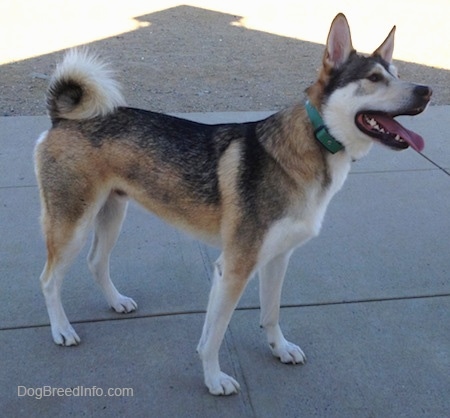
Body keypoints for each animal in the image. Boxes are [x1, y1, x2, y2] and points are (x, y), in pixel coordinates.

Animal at [35, 13, 432, 396]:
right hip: (72, 226)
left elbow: (270, 313)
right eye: (374, 78)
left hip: (112, 215)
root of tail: (62, 117)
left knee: (96, 262)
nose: (427, 91)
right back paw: (61, 330)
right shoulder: (235, 267)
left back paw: (116, 301)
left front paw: (279, 349)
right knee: (49, 280)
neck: (310, 146)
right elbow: (213, 337)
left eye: (398, 74)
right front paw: (214, 380)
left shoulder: (276, 259)